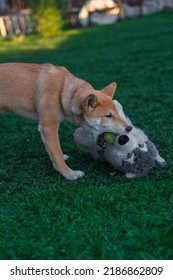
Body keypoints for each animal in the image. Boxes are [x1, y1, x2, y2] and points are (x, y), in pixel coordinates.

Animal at [0, 62, 131, 180]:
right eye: (108, 116)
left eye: (117, 112)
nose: (129, 128)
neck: (63, 90)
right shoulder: (48, 127)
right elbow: (57, 153)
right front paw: (69, 173)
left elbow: (53, 150)